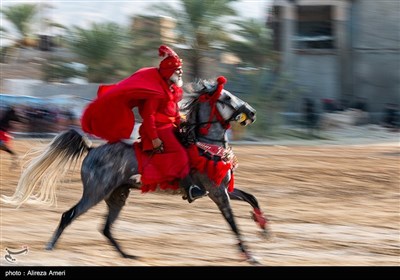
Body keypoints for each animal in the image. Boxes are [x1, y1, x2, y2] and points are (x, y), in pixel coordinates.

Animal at [1, 77, 270, 264]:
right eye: (227, 98)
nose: (253, 112)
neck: (204, 144)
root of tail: (92, 149)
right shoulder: (217, 192)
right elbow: (233, 223)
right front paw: (250, 256)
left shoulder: (221, 189)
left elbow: (252, 197)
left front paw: (264, 227)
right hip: (95, 192)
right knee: (69, 215)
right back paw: (50, 247)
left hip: (117, 195)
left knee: (106, 228)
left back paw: (127, 256)